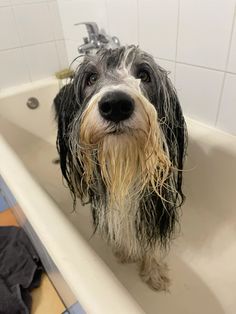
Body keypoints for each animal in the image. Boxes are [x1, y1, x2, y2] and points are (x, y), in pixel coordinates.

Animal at [54, 45, 187, 290]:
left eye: (144, 75)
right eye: (91, 77)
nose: (115, 105)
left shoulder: (156, 199)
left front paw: (153, 272)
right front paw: (126, 252)